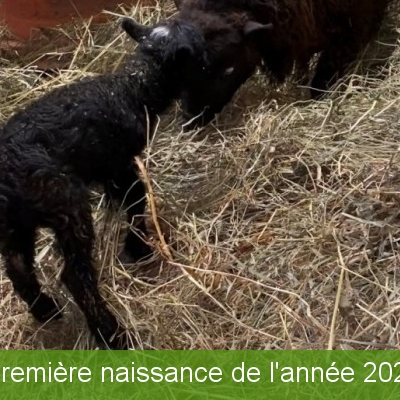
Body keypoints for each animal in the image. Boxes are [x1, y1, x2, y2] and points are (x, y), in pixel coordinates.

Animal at [0, 16, 207, 349]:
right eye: (198, 47)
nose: (209, 62)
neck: (132, 89)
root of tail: (7, 178)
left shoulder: (107, 169)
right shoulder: (120, 161)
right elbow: (136, 197)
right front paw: (138, 246)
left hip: (13, 225)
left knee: (18, 266)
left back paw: (46, 310)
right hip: (65, 203)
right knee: (75, 276)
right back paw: (111, 333)